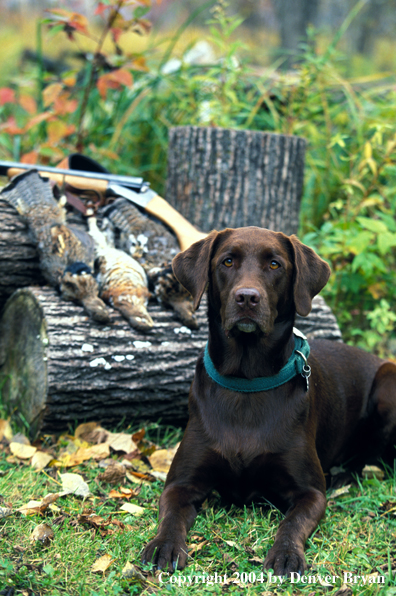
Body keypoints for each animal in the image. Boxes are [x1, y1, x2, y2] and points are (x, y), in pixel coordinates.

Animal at [142, 226, 396, 576]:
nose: (247, 297)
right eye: (228, 261)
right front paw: (164, 545)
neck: (247, 383)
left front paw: (286, 554)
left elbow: (292, 522)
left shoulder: (310, 493)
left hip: (388, 385)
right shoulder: (180, 484)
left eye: (275, 264)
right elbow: (170, 516)